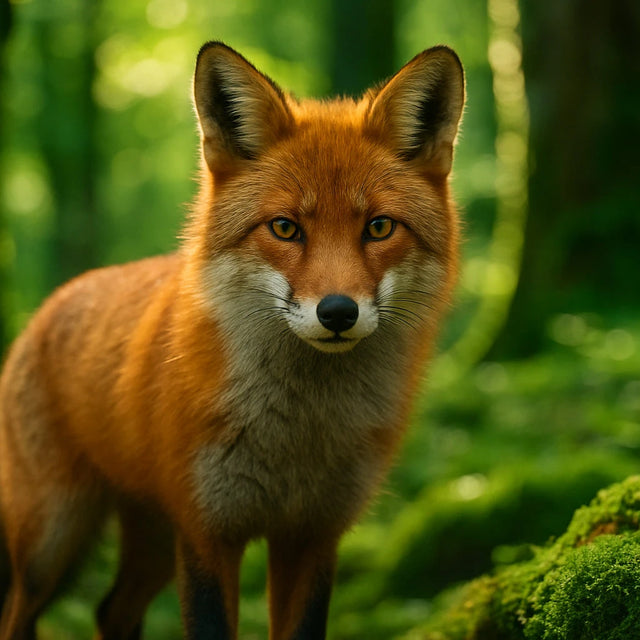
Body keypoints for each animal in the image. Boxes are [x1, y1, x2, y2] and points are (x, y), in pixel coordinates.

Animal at [0, 42, 464, 639]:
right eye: (285, 228)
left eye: (379, 227)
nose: (338, 312)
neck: (299, 436)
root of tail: (53, 302)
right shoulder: (207, 531)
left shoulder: (312, 536)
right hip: (50, 542)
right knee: (19, 612)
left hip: (150, 539)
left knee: (111, 609)